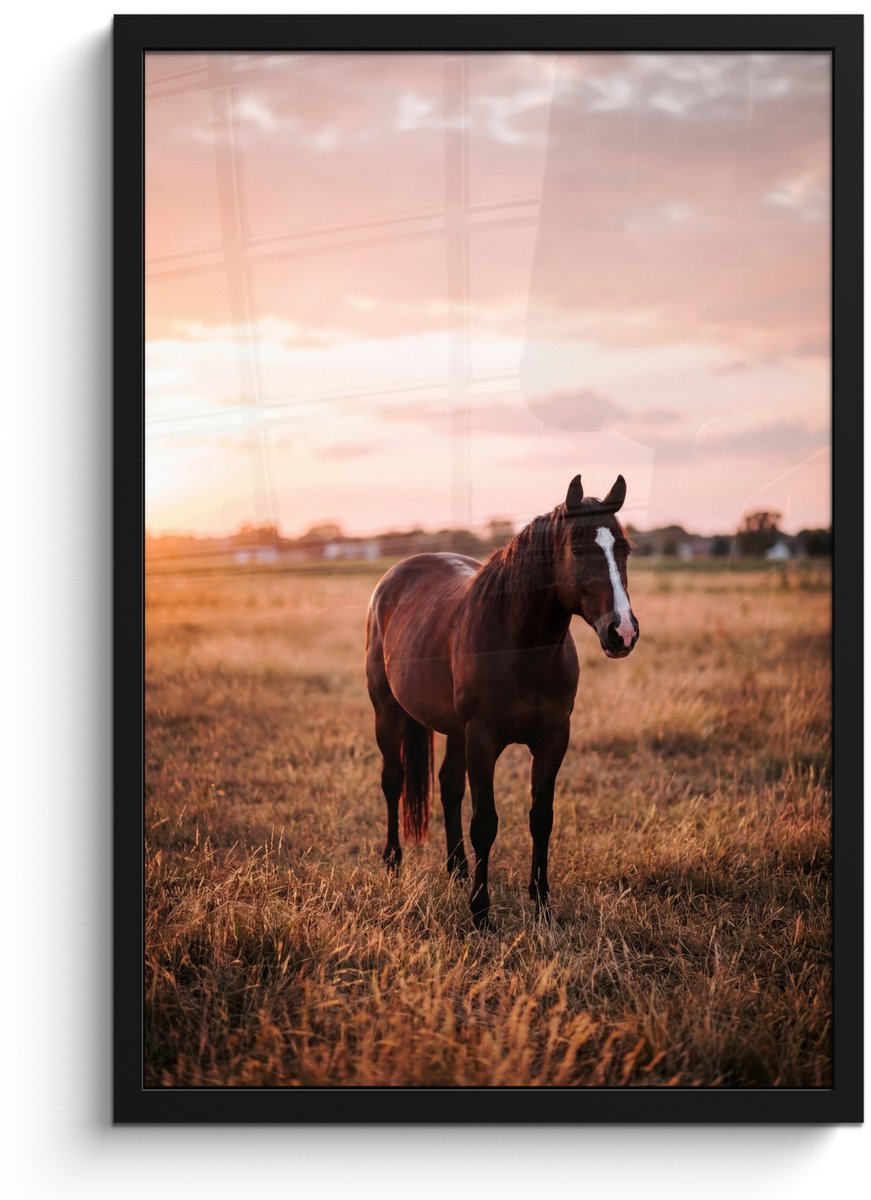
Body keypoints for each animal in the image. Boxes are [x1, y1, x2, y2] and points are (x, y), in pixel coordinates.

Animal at [364, 473, 639, 929]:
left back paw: (457, 868)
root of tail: (395, 576)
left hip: (453, 730)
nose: (623, 632)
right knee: (393, 781)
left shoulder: (552, 739)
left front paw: (542, 904)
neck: (521, 646)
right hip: (388, 712)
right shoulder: (483, 739)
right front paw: (480, 912)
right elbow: (486, 824)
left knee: (449, 786)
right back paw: (393, 862)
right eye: (579, 549)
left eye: (625, 549)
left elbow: (541, 817)